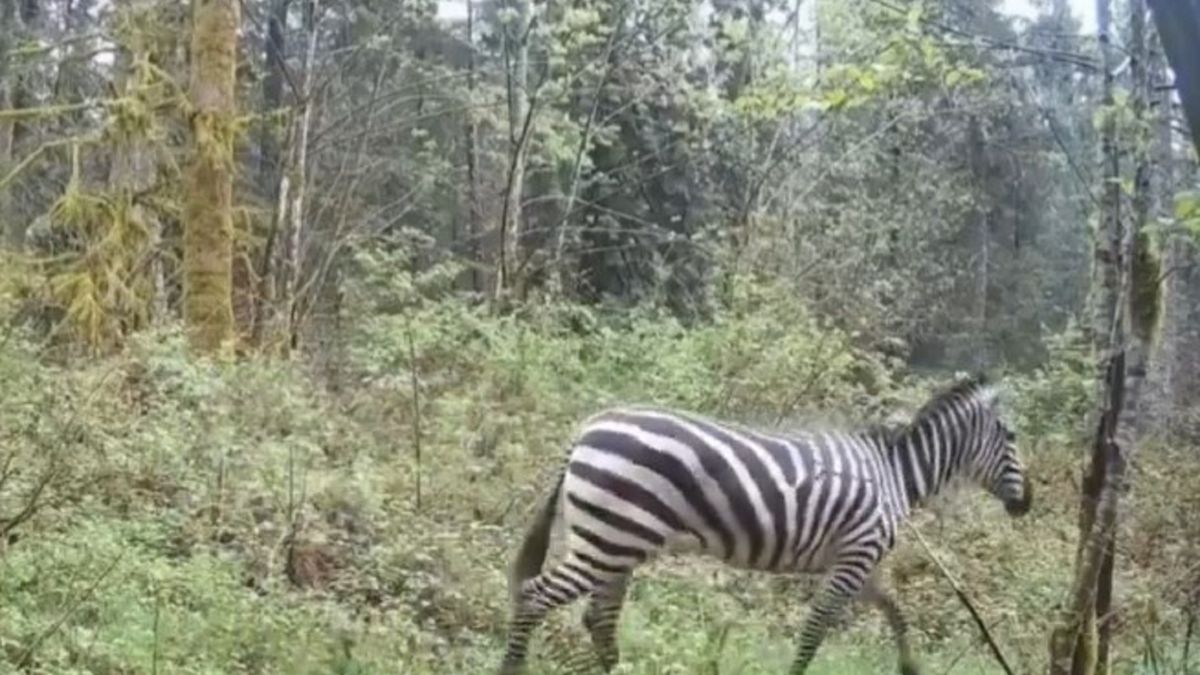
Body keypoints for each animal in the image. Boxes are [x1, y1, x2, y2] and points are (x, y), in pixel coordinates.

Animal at [496, 375, 1032, 675]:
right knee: (536, 597)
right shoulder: (855, 557)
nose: (1026, 504)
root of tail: (587, 429)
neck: (894, 474)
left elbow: (896, 613)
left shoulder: (856, 561)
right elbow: (816, 628)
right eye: (1011, 436)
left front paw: (909, 668)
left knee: (599, 619)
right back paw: (512, 668)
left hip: (616, 542)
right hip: (608, 539)